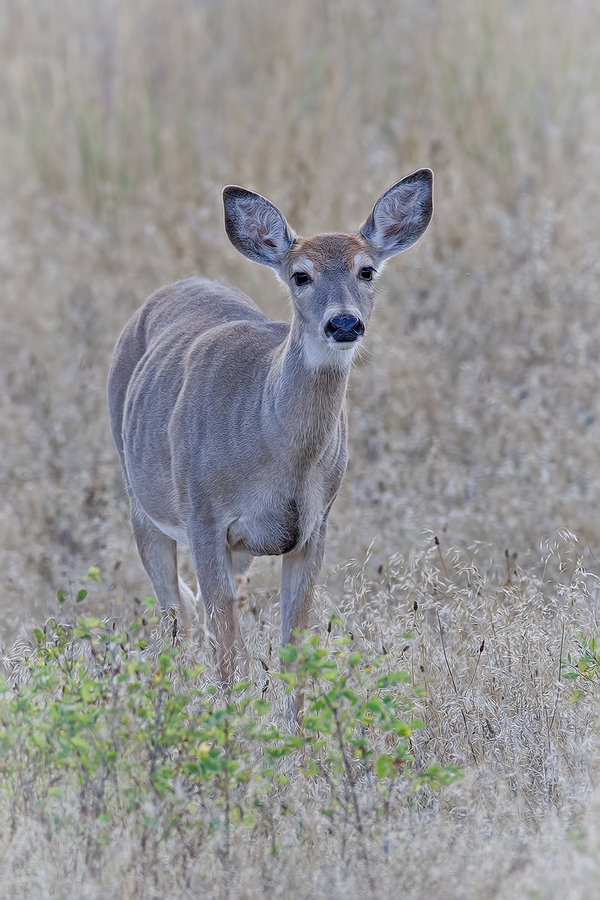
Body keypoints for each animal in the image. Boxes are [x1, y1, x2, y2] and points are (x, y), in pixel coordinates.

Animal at [108, 169, 434, 692]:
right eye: (301, 275)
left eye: (367, 270)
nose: (344, 322)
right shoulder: (204, 518)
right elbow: (229, 659)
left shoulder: (313, 527)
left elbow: (294, 655)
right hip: (143, 502)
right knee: (174, 620)